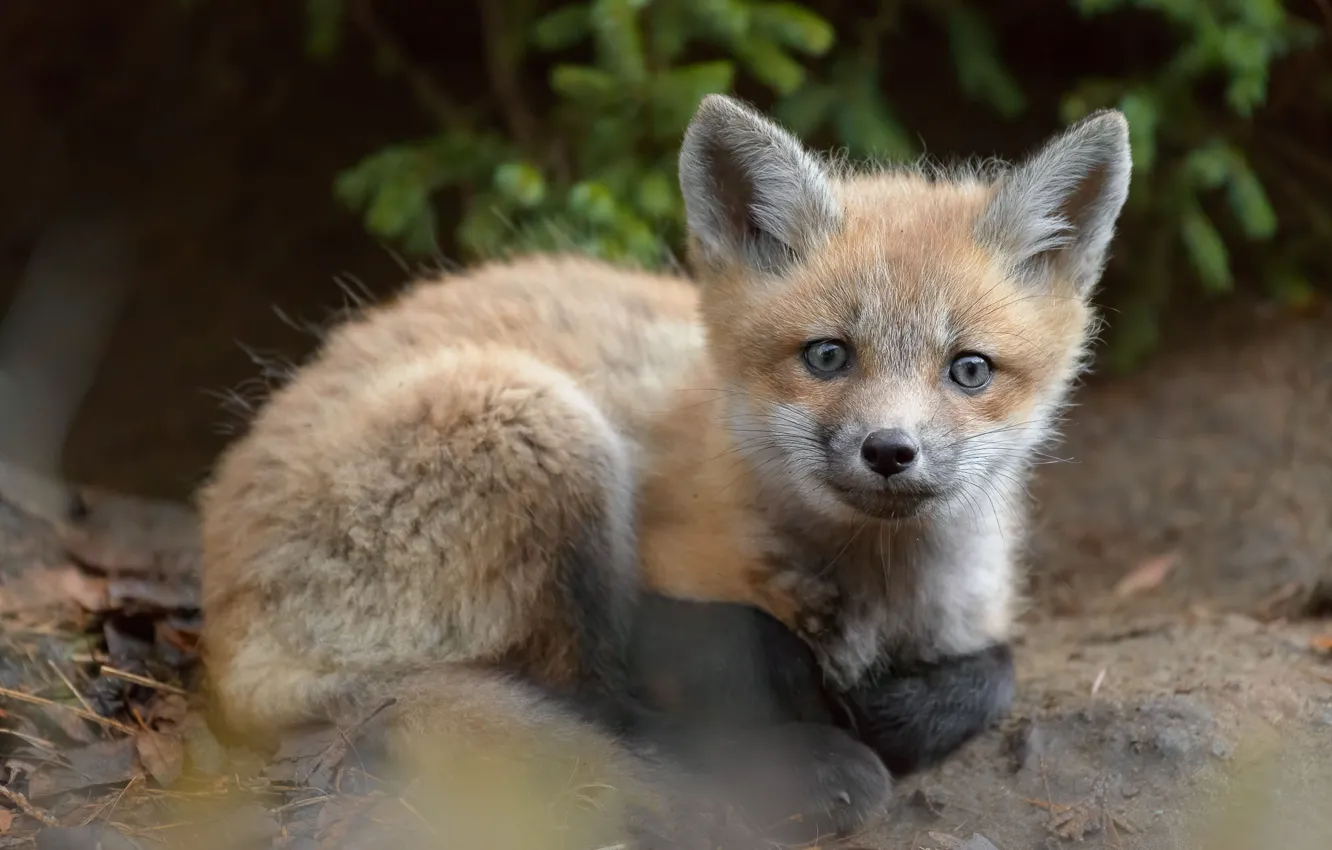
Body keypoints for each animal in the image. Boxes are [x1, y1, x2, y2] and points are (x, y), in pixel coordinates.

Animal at [197, 94, 1131, 849]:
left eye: (969, 370)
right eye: (828, 356)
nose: (890, 451)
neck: (879, 588)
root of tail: (229, 638)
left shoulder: (974, 620)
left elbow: (994, 678)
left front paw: (889, 711)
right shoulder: (667, 587)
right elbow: (745, 647)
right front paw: (824, 710)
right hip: (542, 424)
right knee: (589, 701)